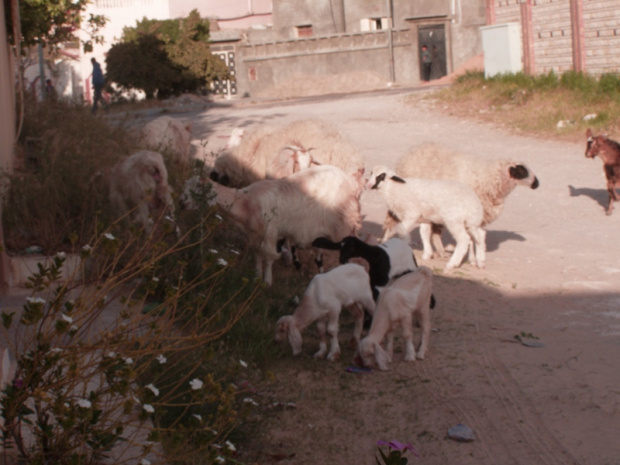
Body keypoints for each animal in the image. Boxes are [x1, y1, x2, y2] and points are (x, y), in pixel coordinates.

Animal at [211, 165, 364, 284]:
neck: (245, 201)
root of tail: (354, 183)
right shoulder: (256, 235)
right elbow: (258, 255)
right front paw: (257, 277)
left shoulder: (270, 233)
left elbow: (268, 258)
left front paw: (267, 281)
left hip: (344, 226)